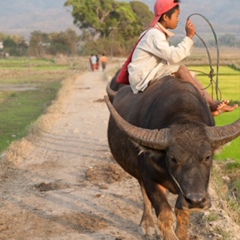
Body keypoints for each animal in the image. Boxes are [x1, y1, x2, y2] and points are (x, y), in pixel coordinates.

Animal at [104, 75, 240, 240]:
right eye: (173, 159)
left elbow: (182, 214)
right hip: (139, 174)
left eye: (208, 157)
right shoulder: (149, 178)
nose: (196, 200)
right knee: (144, 195)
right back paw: (147, 224)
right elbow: (165, 213)